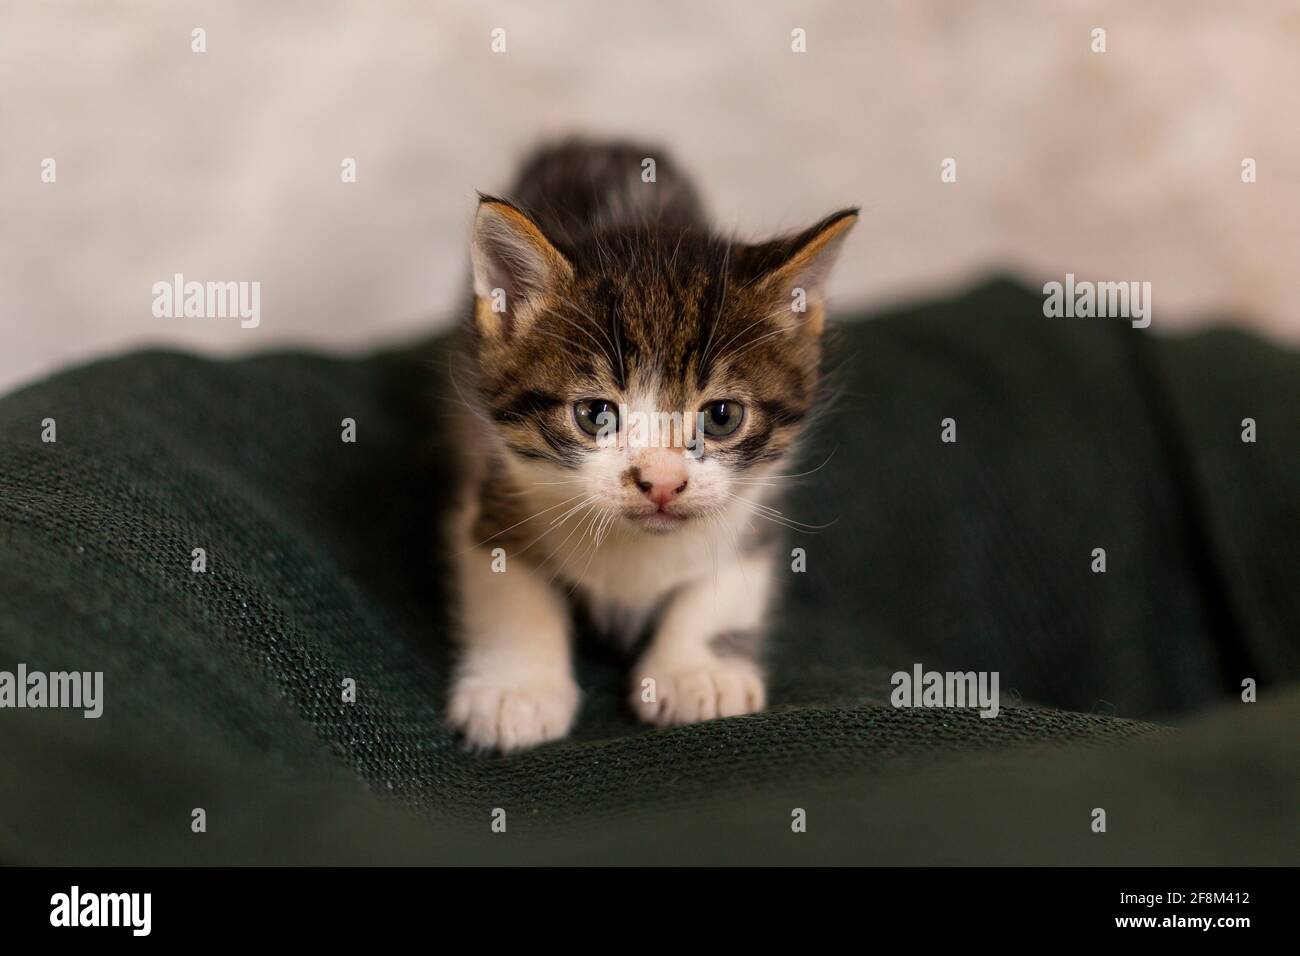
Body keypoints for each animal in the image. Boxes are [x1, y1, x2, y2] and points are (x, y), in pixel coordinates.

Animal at [447, 140, 852, 754]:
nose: (661, 482)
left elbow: (732, 575)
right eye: (595, 415)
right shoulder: (495, 480)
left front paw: (698, 673)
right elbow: (509, 584)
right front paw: (517, 687)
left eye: (722, 416)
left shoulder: (756, 502)